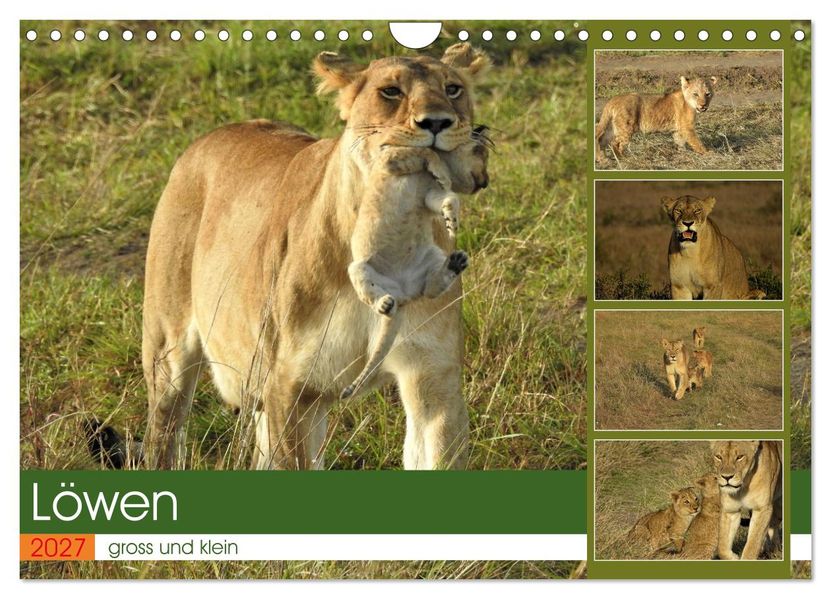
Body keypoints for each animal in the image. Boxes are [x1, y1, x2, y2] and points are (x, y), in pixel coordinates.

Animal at [341, 131, 490, 400]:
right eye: (483, 155)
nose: (486, 182)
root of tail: (403, 295)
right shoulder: (391, 158)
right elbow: (427, 152)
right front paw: (440, 171)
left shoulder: (430, 194)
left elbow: (448, 197)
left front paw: (452, 221)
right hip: (357, 268)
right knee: (372, 295)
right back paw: (384, 303)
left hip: (433, 255)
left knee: (430, 290)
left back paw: (456, 263)